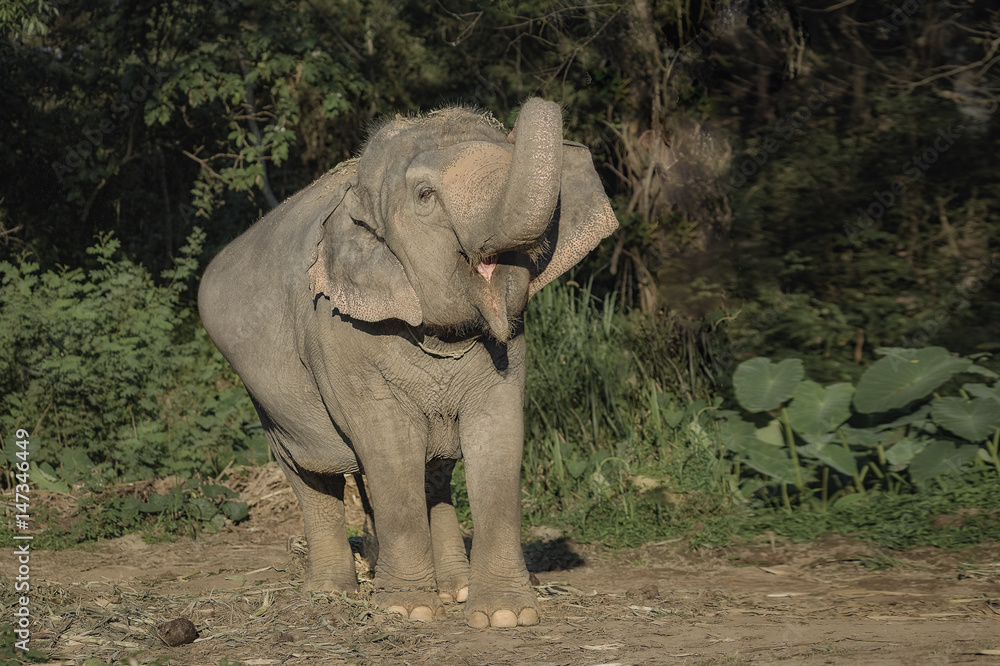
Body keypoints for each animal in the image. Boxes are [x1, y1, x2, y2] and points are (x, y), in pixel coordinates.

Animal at [198, 98, 617, 628]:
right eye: (425, 196)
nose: (537, 103)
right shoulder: (342, 336)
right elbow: (388, 445)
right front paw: (405, 610)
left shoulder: (511, 345)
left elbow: (499, 438)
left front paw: (504, 616)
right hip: (267, 400)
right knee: (309, 475)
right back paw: (331, 594)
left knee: (434, 475)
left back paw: (454, 589)